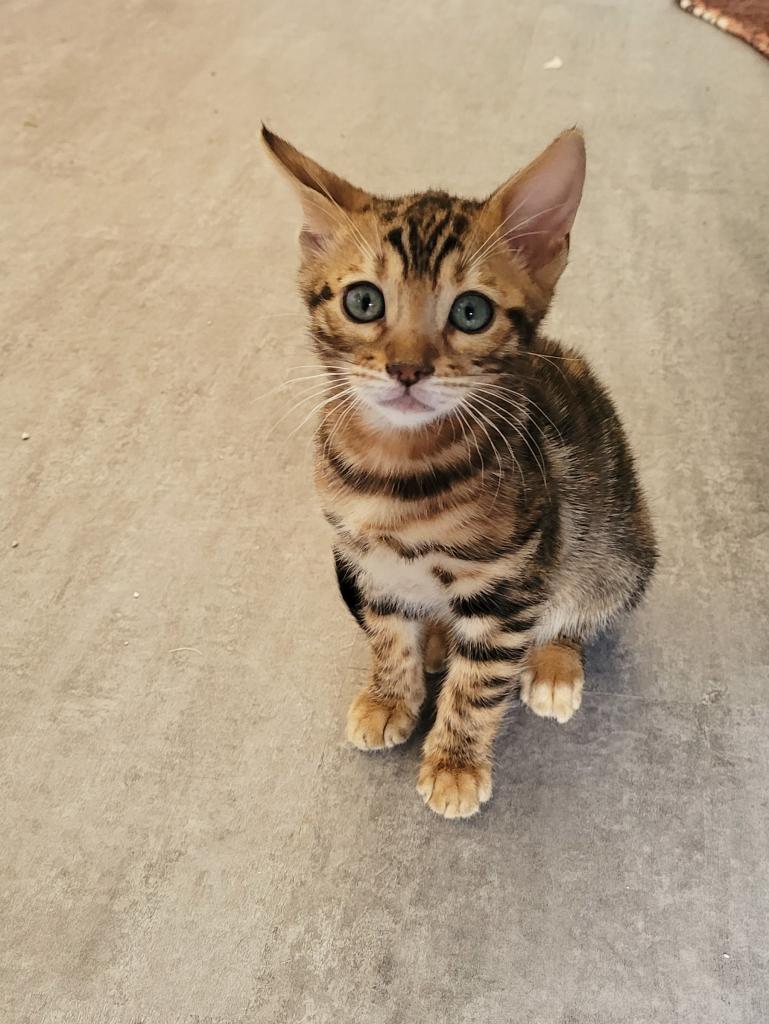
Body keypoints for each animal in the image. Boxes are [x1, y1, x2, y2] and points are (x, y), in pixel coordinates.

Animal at [263, 125, 657, 819]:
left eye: (471, 312)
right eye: (363, 301)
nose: (407, 368)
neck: (394, 470)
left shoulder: (511, 585)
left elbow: (479, 685)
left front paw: (454, 763)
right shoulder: (369, 564)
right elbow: (387, 636)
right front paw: (389, 695)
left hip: (616, 548)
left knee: (583, 609)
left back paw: (554, 665)